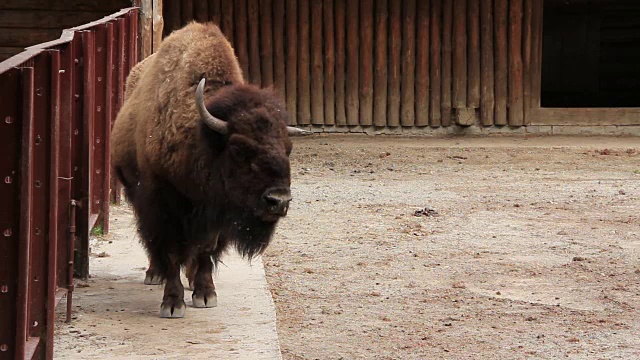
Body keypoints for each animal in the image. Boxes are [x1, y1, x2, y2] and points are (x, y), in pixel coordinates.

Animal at [110, 21, 310, 318]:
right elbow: (170, 249)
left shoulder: (217, 212)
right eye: (237, 149)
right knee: (151, 240)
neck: (202, 139)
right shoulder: (163, 205)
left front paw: (205, 294)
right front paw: (172, 303)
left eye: (289, 148)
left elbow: (206, 247)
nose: (279, 201)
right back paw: (154, 273)